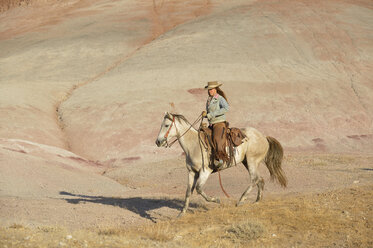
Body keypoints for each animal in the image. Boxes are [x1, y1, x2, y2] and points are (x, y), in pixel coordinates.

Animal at [154, 111, 284, 216]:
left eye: (166, 125)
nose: (158, 142)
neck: (194, 145)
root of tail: (264, 137)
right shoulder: (191, 172)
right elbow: (188, 192)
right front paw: (182, 213)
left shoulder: (205, 171)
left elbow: (199, 189)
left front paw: (216, 200)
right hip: (247, 162)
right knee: (260, 179)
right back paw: (257, 201)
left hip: (252, 161)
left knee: (254, 179)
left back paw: (241, 200)